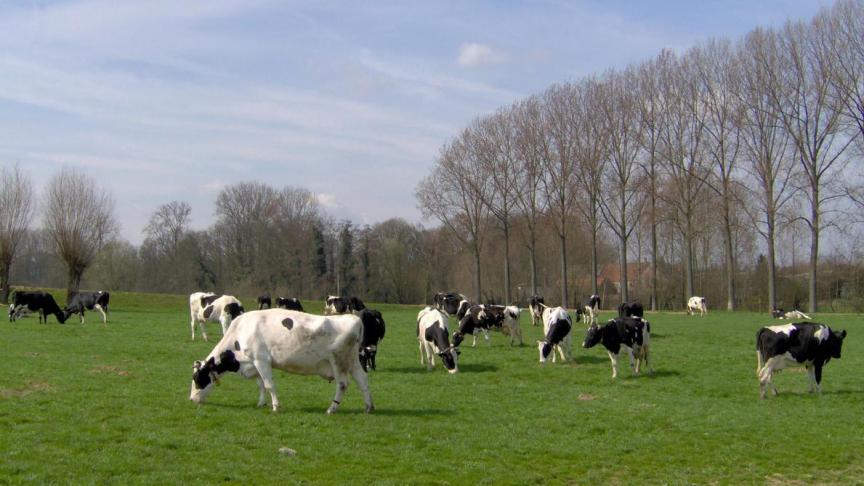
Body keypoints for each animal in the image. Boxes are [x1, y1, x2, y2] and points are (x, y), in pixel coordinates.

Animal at [191, 310, 372, 416]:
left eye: (197, 379)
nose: (192, 399)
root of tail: (352, 318)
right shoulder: (253, 363)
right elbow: (260, 385)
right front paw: (261, 403)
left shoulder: (261, 360)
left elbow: (269, 385)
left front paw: (275, 407)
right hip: (353, 361)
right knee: (363, 380)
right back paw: (369, 407)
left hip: (338, 361)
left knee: (342, 384)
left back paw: (332, 409)